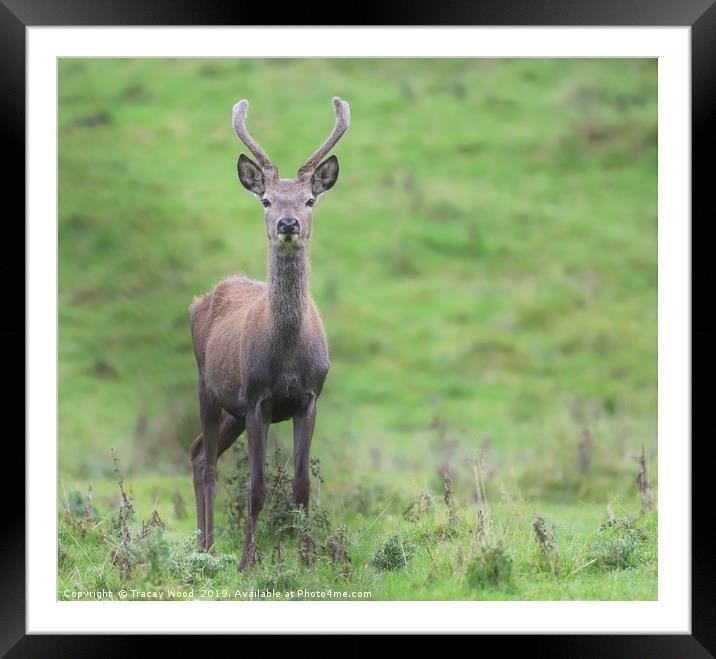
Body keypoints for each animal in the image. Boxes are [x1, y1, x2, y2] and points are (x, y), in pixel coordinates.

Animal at [187, 95, 350, 568]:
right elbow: (257, 487)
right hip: (207, 386)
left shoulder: (308, 398)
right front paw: (246, 562)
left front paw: (310, 559)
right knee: (208, 464)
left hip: (233, 411)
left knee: (198, 451)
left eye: (310, 200)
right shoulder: (257, 397)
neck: (288, 355)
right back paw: (207, 549)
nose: (288, 224)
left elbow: (301, 485)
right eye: (265, 200)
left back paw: (205, 543)